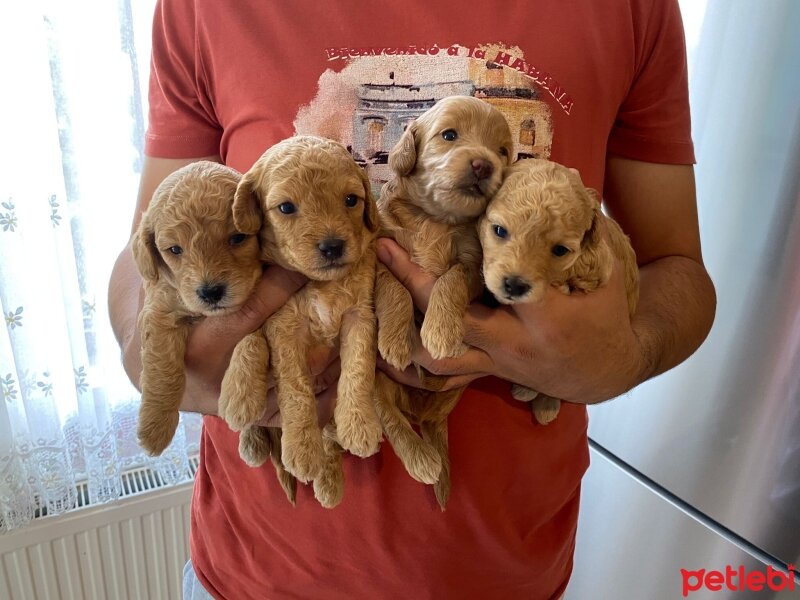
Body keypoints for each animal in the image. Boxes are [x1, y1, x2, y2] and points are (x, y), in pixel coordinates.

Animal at [132, 159, 260, 454]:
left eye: (238, 238)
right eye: (175, 250)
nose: (210, 292)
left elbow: (253, 338)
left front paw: (242, 394)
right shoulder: (161, 309)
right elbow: (162, 369)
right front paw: (154, 427)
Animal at [217, 135, 382, 506]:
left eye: (351, 200)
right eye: (286, 208)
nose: (333, 246)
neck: (321, 283)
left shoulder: (359, 317)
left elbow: (358, 368)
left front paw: (358, 422)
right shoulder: (284, 328)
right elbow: (295, 388)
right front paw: (302, 448)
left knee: (331, 440)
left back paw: (330, 481)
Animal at [376, 95, 512, 506]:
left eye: (503, 151)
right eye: (449, 135)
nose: (484, 164)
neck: (435, 219)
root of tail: (423, 410)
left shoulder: (472, 265)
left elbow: (450, 280)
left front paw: (439, 333)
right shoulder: (379, 251)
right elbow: (394, 287)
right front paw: (396, 339)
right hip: (379, 379)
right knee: (387, 414)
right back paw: (422, 460)